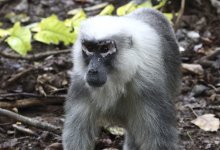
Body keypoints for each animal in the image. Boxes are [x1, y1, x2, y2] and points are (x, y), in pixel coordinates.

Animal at [62, 8, 180, 150]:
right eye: (89, 48)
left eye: (105, 49)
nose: (93, 70)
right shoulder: (81, 83)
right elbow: (76, 137)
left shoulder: (148, 85)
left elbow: (159, 141)